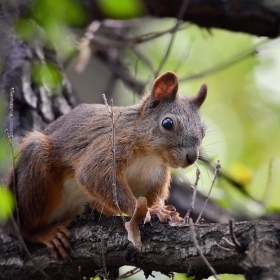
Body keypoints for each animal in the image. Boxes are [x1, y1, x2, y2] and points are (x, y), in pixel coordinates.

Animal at [3, 71, 206, 260]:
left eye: (203, 131)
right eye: (168, 123)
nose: (191, 157)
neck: (150, 157)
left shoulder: (155, 176)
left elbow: (154, 195)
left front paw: (160, 209)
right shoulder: (111, 144)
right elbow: (93, 175)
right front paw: (148, 210)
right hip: (33, 172)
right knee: (25, 229)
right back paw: (45, 233)